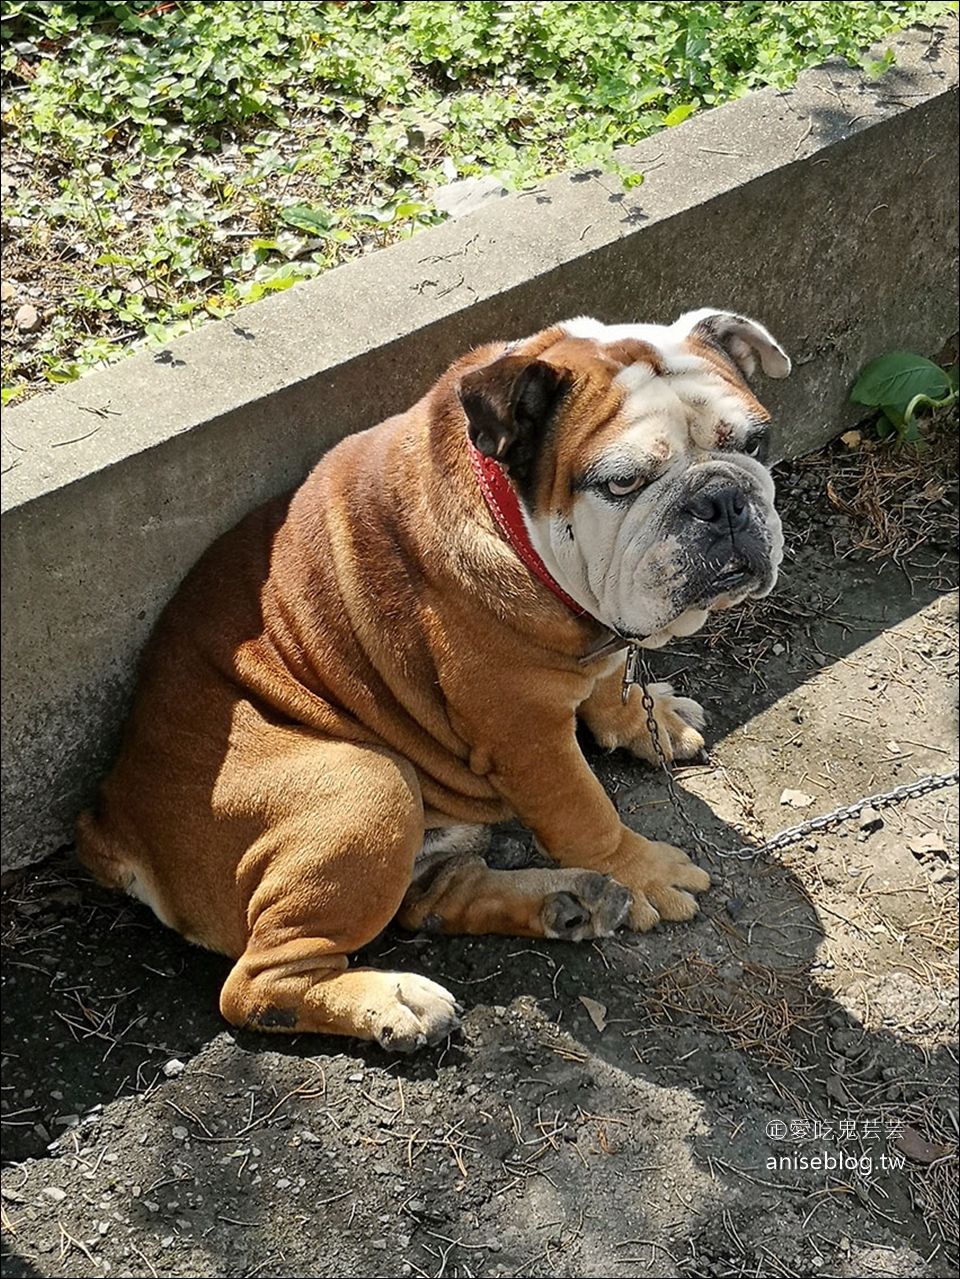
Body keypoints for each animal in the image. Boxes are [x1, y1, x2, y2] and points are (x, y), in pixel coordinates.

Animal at [80, 306, 787, 1048]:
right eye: (621, 483)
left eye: (756, 441)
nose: (722, 499)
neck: (514, 522)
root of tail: (111, 819)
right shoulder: (526, 736)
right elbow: (586, 813)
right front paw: (642, 871)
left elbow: (609, 676)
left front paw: (647, 717)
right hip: (368, 787)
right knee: (256, 985)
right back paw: (394, 1000)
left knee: (435, 899)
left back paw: (567, 901)